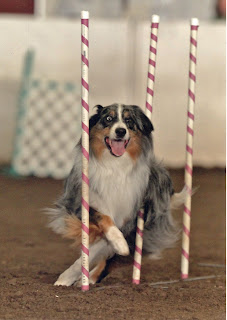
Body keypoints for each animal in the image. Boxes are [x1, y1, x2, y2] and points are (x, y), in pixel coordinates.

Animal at [46, 104, 184, 286]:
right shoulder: (79, 204)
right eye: (108, 118)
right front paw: (65, 279)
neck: (114, 165)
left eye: (129, 120)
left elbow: (101, 248)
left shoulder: (128, 221)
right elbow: (103, 218)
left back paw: (90, 278)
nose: (120, 131)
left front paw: (120, 245)